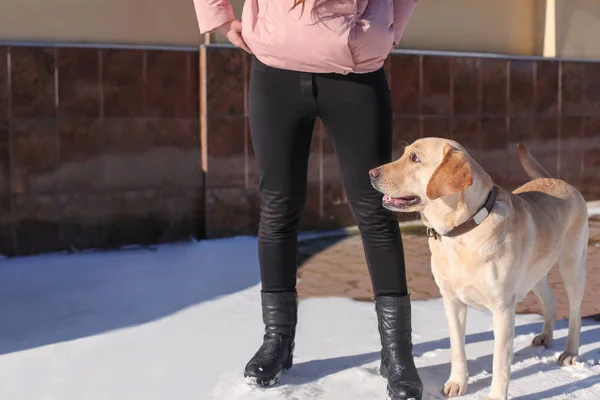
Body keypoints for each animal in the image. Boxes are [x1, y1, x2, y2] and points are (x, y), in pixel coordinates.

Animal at [368, 138, 588, 400]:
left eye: (415, 158)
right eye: (404, 154)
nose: (371, 173)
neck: (463, 230)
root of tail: (558, 180)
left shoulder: (502, 308)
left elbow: (500, 361)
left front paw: (495, 396)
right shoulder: (451, 301)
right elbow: (457, 347)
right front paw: (457, 383)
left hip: (572, 266)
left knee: (575, 312)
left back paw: (570, 352)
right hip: (534, 274)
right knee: (550, 299)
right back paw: (546, 335)